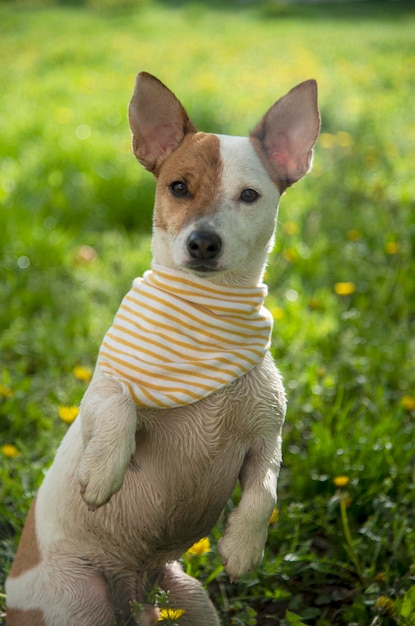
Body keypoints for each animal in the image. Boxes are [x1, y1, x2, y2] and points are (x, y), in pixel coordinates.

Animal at [4, 70, 320, 620]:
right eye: (178, 187)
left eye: (250, 195)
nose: (203, 243)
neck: (206, 317)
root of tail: (135, 592)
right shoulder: (98, 396)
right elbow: (118, 405)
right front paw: (102, 473)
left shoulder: (266, 438)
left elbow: (266, 491)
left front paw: (243, 547)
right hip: (75, 601)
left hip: (188, 598)